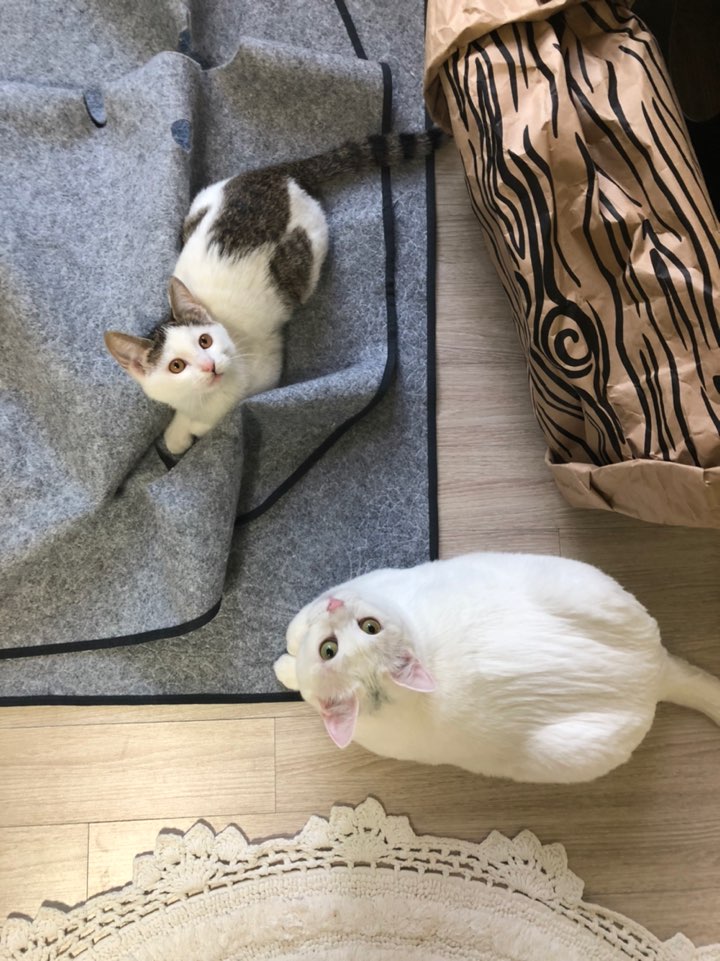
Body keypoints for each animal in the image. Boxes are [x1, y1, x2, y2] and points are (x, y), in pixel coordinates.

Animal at [104, 128, 445, 455]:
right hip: (201, 204)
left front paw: (192, 428)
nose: (209, 365)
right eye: (176, 366)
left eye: (204, 340)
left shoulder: (264, 369)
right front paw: (177, 431)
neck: (204, 397)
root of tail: (277, 174)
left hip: (308, 248)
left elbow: (219, 414)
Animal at [274, 551, 720, 783]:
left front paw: (284, 662)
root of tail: (654, 669)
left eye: (369, 627)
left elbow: (294, 634)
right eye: (330, 649)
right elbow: (297, 629)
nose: (335, 605)